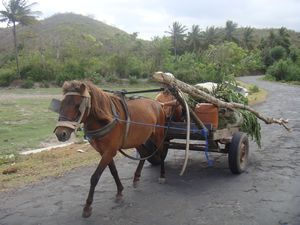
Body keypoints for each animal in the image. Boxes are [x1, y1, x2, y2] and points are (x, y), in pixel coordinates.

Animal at [54, 80, 166, 217]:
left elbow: (95, 177)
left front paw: (88, 206)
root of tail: (157, 104)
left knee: (161, 153)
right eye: (62, 103)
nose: (60, 134)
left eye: (78, 105)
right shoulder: (104, 151)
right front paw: (120, 191)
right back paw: (136, 177)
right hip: (138, 138)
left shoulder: (109, 151)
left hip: (158, 136)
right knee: (144, 154)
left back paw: (162, 175)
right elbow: (113, 172)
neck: (106, 119)